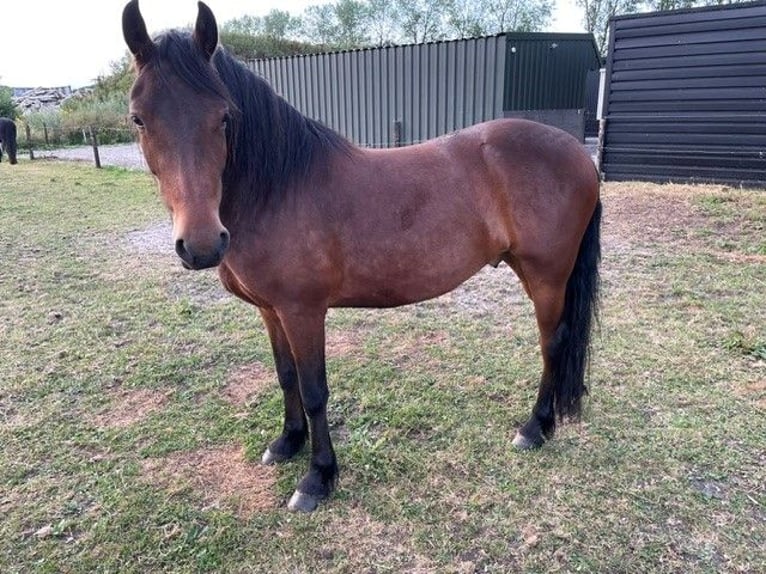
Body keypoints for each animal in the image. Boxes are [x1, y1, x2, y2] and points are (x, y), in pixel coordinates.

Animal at [122, 0, 602, 512]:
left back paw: (535, 428)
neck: (277, 188)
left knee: (553, 343)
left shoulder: (303, 311)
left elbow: (314, 390)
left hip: (547, 276)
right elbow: (285, 376)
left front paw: (317, 477)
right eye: (138, 118)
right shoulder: (272, 311)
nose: (202, 244)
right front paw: (287, 443)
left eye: (224, 117)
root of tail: (577, 151)